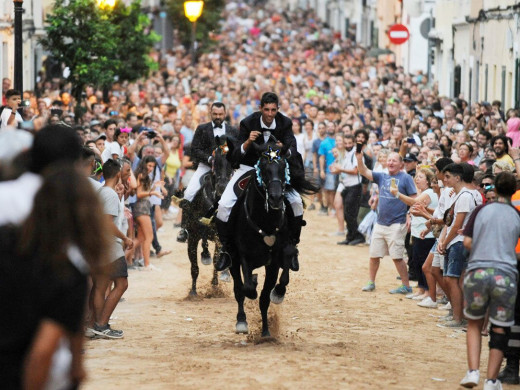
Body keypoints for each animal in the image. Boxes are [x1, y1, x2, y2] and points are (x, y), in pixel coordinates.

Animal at [183, 136, 232, 296]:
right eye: (216, 161)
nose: (222, 187)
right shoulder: (193, 236)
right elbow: (194, 267)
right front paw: (193, 292)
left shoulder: (220, 237)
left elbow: (218, 261)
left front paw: (217, 285)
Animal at [230, 145, 318, 336]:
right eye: (263, 169)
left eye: (284, 167)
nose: (276, 198)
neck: (266, 220)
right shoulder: (244, 256)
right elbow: (247, 289)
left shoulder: (276, 259)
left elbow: (269, 292)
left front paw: (266, 331)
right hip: (232, 259)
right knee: (238, 290)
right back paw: (241, 321)